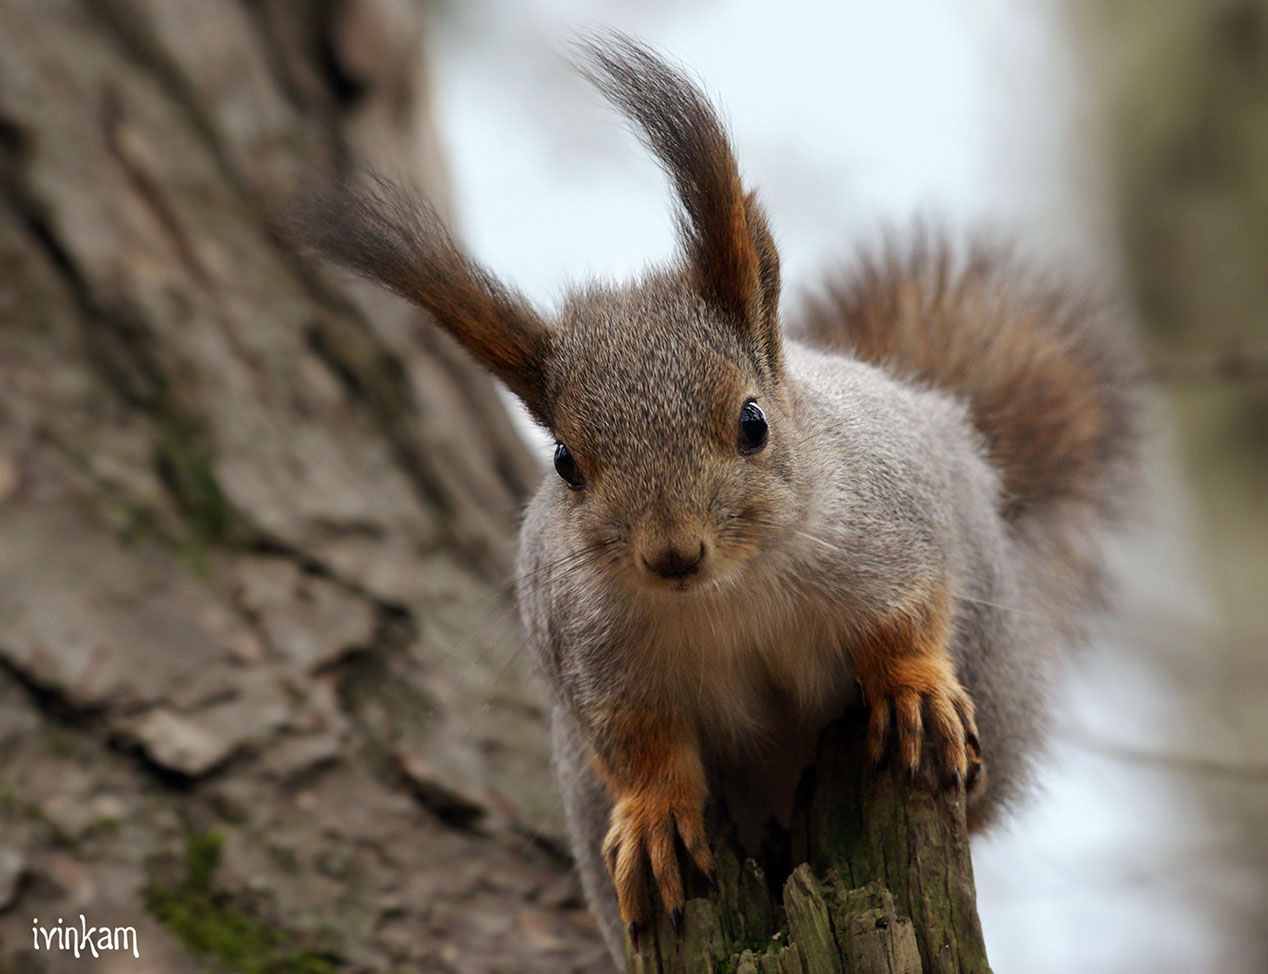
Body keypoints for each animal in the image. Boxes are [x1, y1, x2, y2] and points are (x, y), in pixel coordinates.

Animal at [290, 30, 1141, 963]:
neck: (730, 593)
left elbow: (908, 616)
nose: (672, 555)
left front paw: (912, 687)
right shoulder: (600, 657)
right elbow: (638, 745)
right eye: (564, 462)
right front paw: (656, 818)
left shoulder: (892, 527)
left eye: (752, 422)